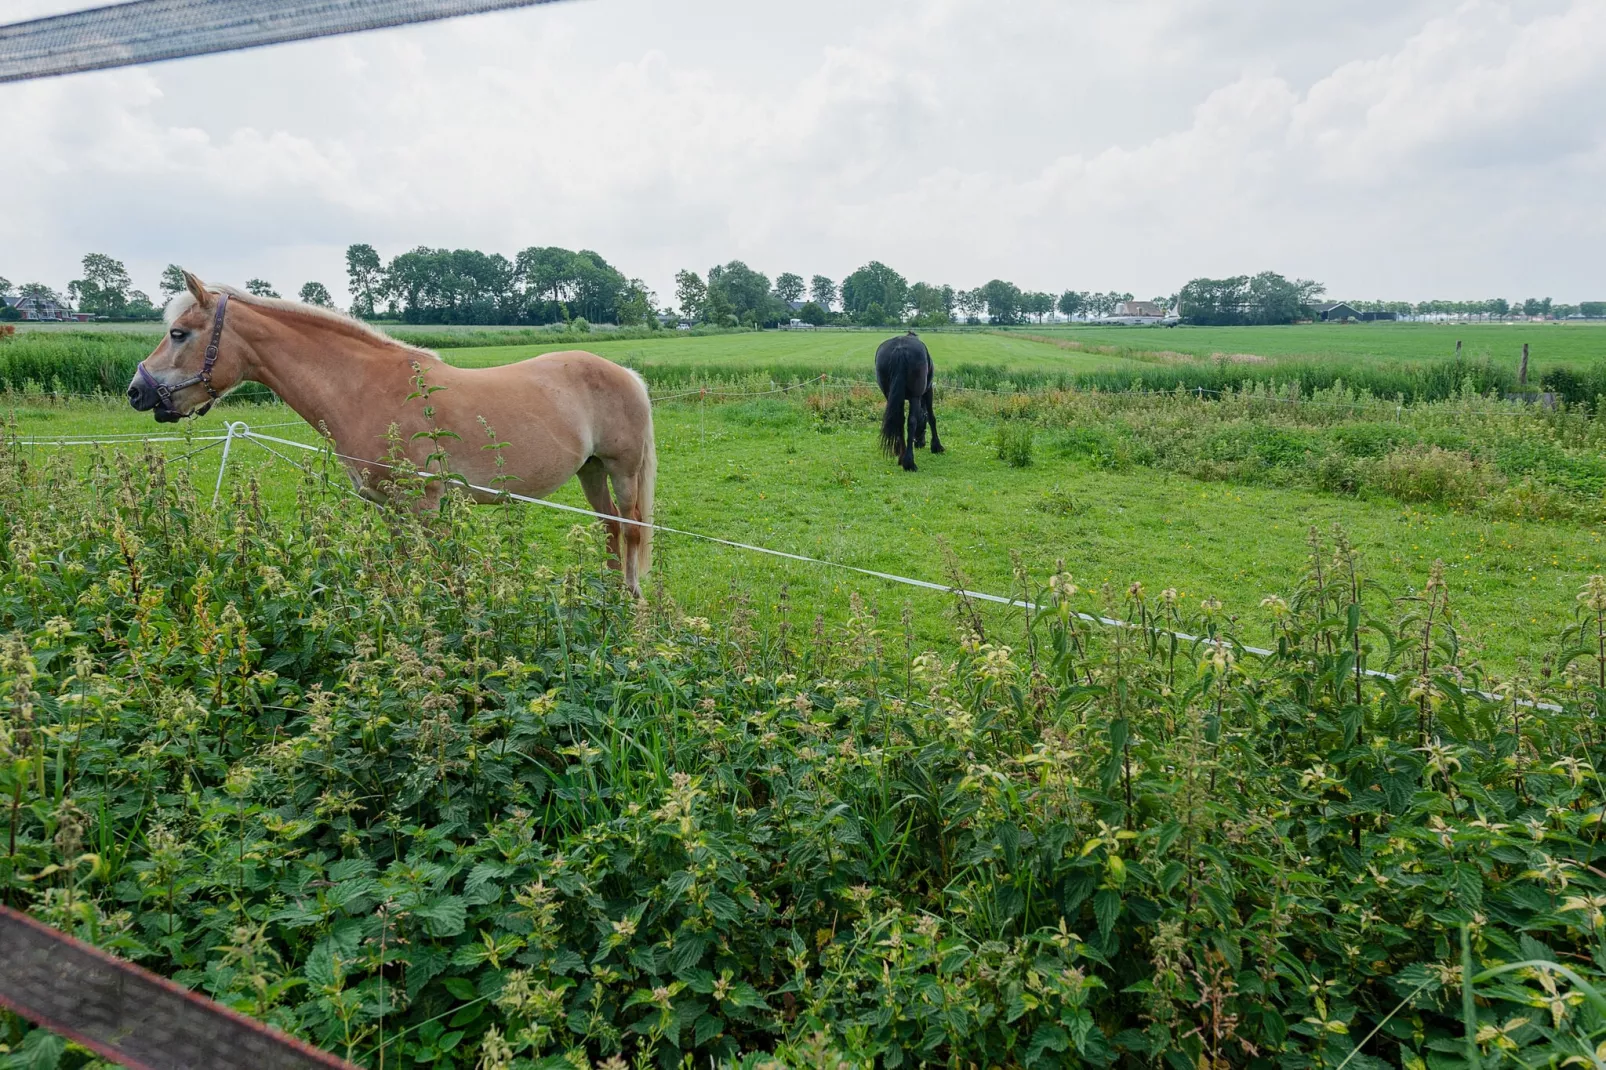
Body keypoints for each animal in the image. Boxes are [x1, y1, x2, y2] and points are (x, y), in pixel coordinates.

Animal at [122, 268, 655, 591]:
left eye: (178, 334)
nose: (137, 391)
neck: (363, 387)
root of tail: (628, 374)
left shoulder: (424, 505)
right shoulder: (389, 508)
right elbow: (404, 569)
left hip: (622, 470)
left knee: (630, 529)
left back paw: (630, 601)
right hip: (590, 469)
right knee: (609, 524)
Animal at [880, 329, 937, 472]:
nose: (920, 443)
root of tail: (900, 349)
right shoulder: (928, 390)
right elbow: (931, 417)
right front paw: (937, 446)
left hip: (889, 394)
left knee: (899, 420)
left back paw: (902, 457)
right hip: (915, 397)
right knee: (911, 421)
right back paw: (909, 462)